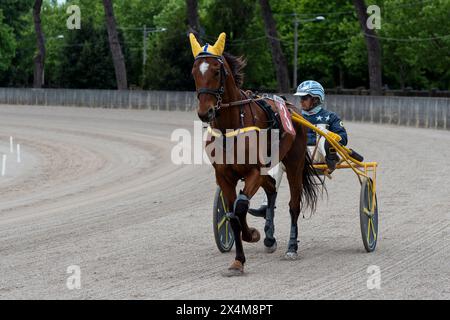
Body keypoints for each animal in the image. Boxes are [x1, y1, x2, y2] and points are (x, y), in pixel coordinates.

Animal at [188, 33, 322, 276]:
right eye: (194, 72)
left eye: (216, 71)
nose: (205, 112)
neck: (231, 127)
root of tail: (292, 109)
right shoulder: (223, 176)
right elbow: (232, 214)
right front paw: (238, 260)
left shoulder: (254, 171)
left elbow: (240, 206)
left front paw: (251, 234)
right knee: (271, 187)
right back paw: (269, 237)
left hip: (294, 162)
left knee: (293, 205)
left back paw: (291, 247)